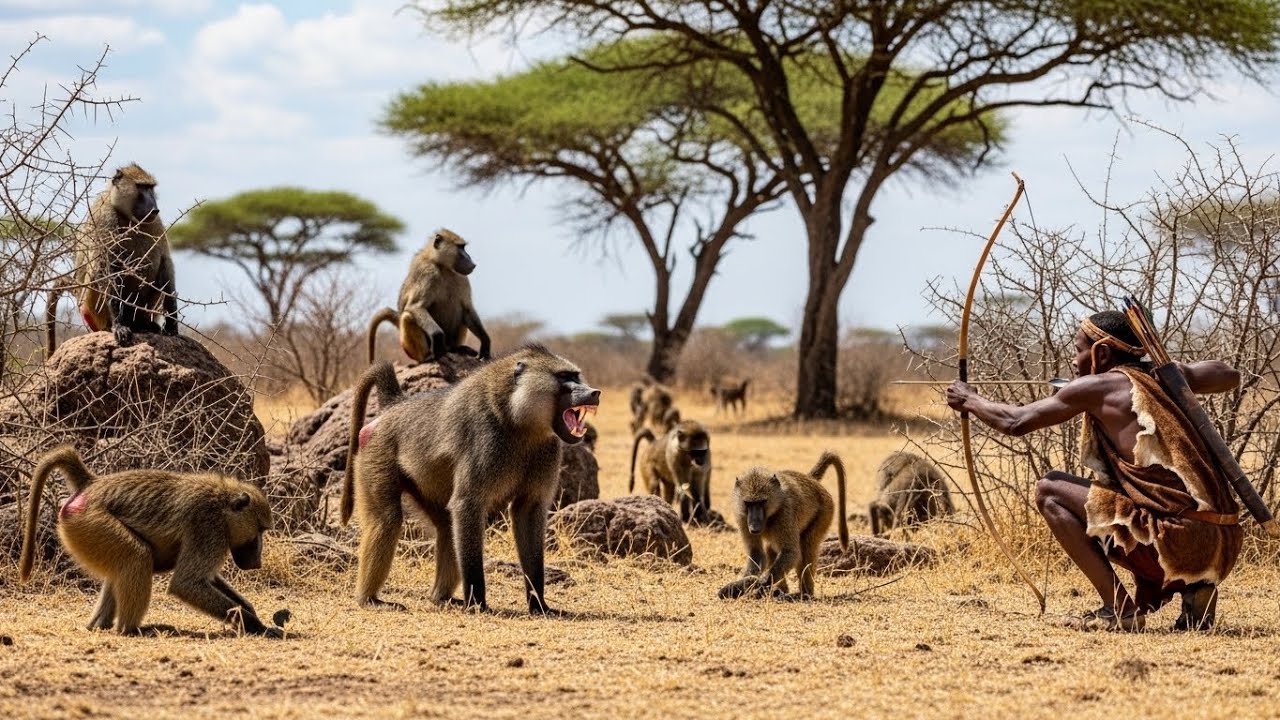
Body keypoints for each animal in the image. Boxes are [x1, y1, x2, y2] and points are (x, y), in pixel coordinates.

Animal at [18, 445, 282, 637]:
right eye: (260, 530)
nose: (257, 562)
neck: (223, 503)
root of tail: (91, 484)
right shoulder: (208, 528)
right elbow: (186, 583)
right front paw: (257, 626)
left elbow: (206, 579)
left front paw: (251, 613)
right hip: (90, 522)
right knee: (138, 556)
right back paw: (131, 629)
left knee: (121, 567)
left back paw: (99, 626)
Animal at [46, 164, 177, 357]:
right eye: (141, 187)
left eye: (150, 188)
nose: (154, 208)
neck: (127, 217)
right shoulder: (104, 218)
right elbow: (106, 267)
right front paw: (118, 326)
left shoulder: (155, 223)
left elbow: (165, 263)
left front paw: (173, 324)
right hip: (90, 309)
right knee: (97, 271)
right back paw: (115, 325)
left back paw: (143, 323)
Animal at [341, 344, 599, 614]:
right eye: (564, 378)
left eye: (576, 376)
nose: (594, 393)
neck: (518, 420)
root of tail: (393, 406)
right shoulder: (484, 438)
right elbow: (467, 505)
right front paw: (477, 603)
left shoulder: (547, 450)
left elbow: (527, 511)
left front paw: (539, 605)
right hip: (377, 453)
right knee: (387, 520)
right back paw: (370, 599)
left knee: (446, 527)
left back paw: (440, 597)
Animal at [367, 228, 490, 365]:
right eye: (460, 247)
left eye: (464, 247)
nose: (470, 259)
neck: (442, 266)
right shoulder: (428, 273)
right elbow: (415, 306)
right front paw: (437, 338)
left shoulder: (462, 277)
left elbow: (467, 308)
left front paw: (485, 343)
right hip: (410, 349)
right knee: (408, 317)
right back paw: (427, 357)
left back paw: (458, 349)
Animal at [718, 451, 849, 600]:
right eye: (748, 503)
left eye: (762, 502)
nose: (754, 527)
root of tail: (811, 480)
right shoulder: (742, 517)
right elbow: (757, 554)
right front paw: (738, 586)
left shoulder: (785, 513)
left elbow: (791, 552)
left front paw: (760, 583)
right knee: (771, 550)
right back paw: (780, 590)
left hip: (825, 511)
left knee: (806, 547)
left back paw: (804, 594)